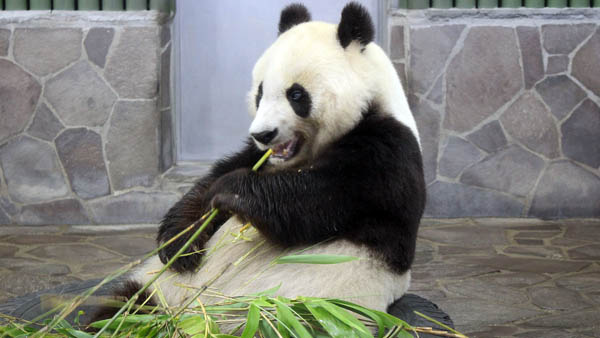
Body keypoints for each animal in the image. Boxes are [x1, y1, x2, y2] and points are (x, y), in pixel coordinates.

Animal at [92, 0, 422, 324]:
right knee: (124, 304)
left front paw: (230, 191)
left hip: (303, 310)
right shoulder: (257, 156)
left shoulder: (386, 154)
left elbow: (315, 201)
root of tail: (191, 319)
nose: (263, 134)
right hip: (158, 288)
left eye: (296, 95)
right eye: (260, 92)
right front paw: (180, 242)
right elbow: (209, 183)